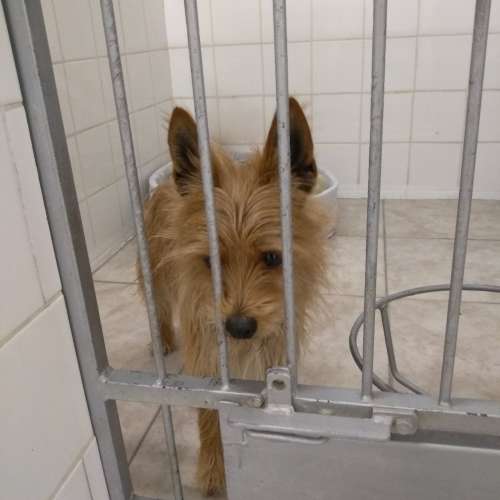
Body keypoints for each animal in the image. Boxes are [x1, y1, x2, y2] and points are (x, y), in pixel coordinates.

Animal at [139, 97, 328, 496]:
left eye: (272, 257)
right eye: (211, 261)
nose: (238, 327)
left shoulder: (274, 346)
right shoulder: (206, 352)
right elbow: (209, 414)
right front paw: (214, 472)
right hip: (155, 278)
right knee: (158, 308)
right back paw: (163, 339)